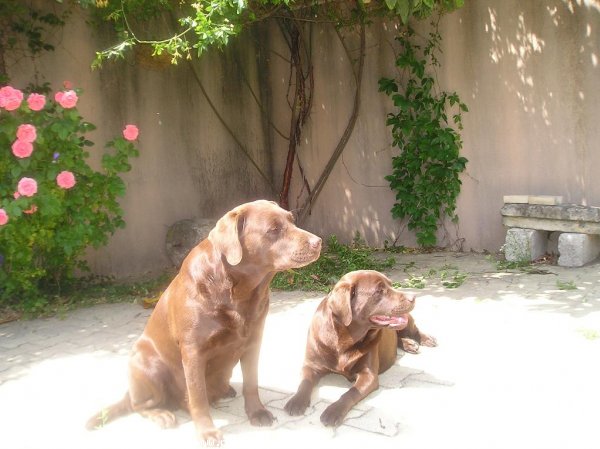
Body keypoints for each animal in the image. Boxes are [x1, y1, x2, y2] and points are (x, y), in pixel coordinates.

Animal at [86, 200, 322, 444]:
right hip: (146, 364)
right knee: (139, 405)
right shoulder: (193, 352)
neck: (238, 293)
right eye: (273, 229)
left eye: (292, 220)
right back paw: (161, 414)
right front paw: (207, 431)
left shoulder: (254, 341)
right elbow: (198, 397)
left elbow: (251, 383)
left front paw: (257, 412)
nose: (318, 242)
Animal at [284, 268, 434, 426]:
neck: (345, 339)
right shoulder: (310, 365)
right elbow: (304, 383)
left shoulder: (368, 375)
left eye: (391, 285)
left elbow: (351, 392)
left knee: (414, 330)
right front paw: (296, 401)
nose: (413, 297)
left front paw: (333, 411)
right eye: (379, 290)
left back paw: (425, 339)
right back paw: (408, 343)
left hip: (407, 321)